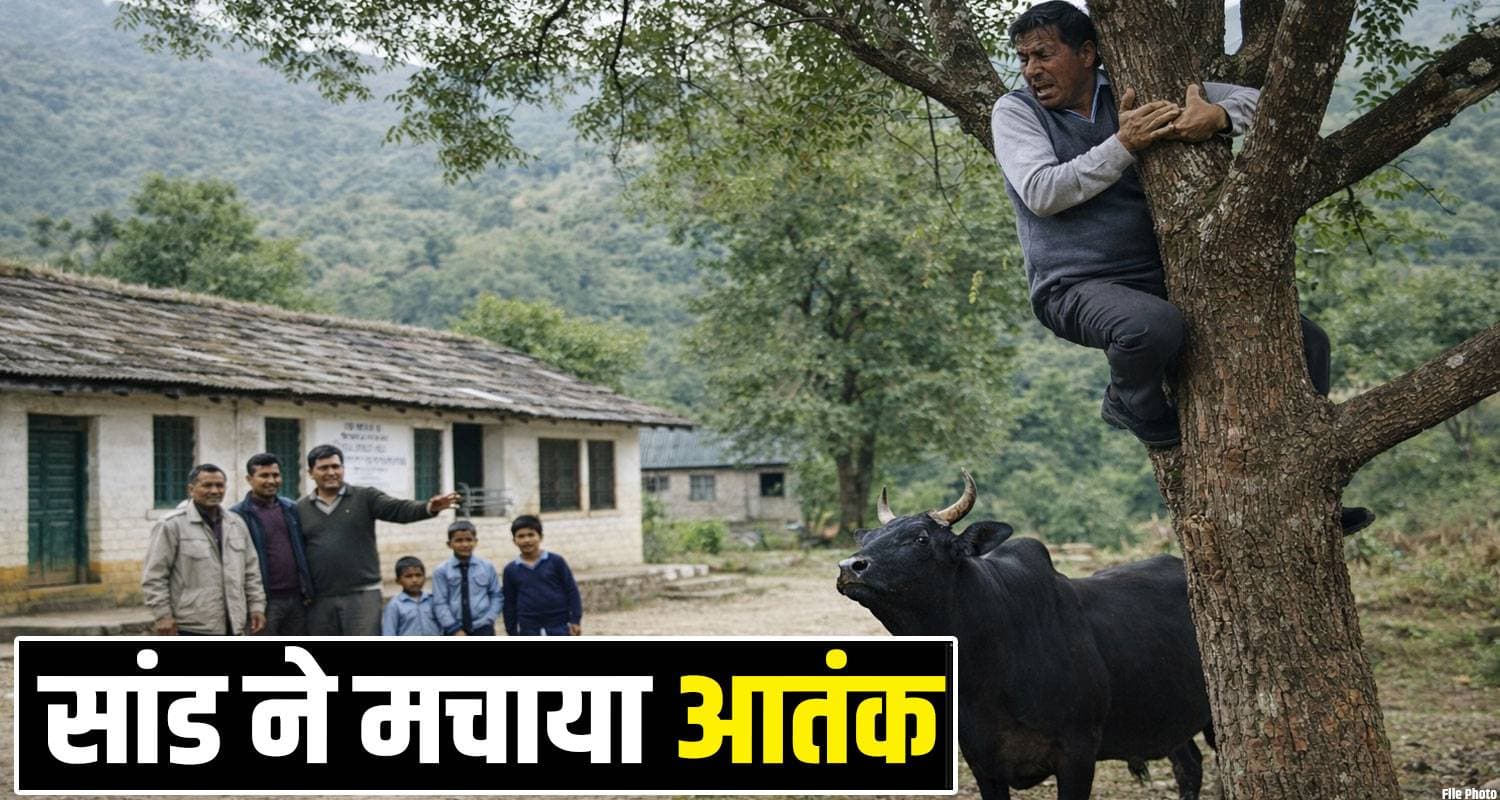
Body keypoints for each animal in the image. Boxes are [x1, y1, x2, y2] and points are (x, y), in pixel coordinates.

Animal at [836, 471, 1213, 800]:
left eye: (920, 538)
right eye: (868, 538)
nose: (849, 567)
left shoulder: (1078, 754)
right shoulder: (982, 762)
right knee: (1189, 765)